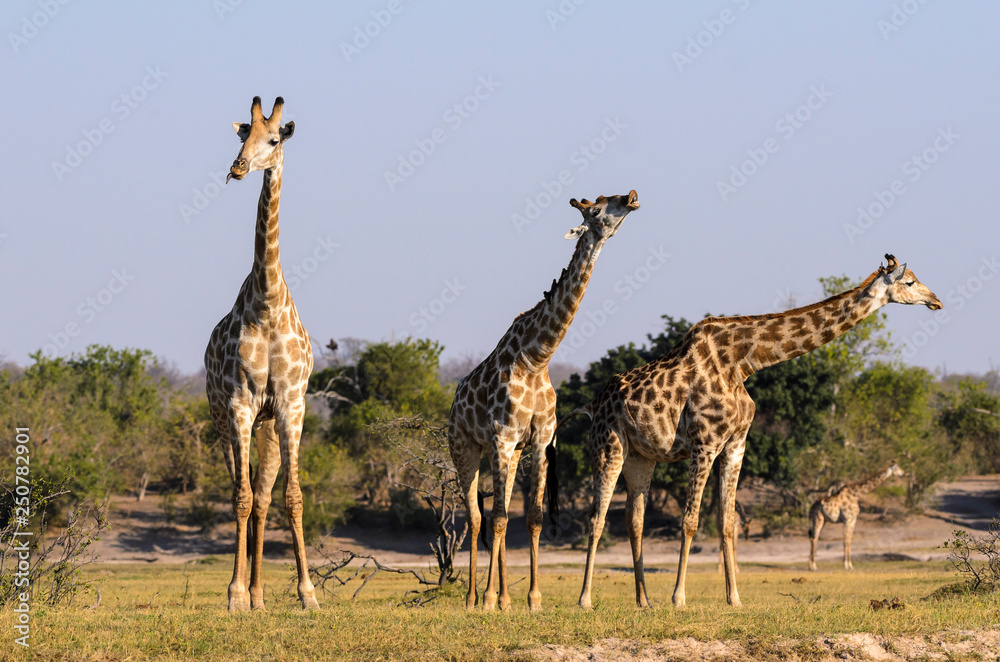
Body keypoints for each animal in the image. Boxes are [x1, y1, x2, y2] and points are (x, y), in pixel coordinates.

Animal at [448, 189, 636, 616]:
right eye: (596, 209)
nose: (632, 197)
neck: (537, 358)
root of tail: (453, 402)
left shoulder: (537, 440)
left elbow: (531, 517)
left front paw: (531, 599)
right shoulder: (501, 438)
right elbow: (499, 519)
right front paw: (488, 600)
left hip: (511, 454)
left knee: (495, 513)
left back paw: (504, 598)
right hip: (466, 448)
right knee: (476, 517)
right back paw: (473, 598)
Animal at [576, 255, 940, 612]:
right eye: (910, 282)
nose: (935, 300)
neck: (742, 363)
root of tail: (593, 403)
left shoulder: (736, 444)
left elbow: (727, 522)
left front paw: (734, 598)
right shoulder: (704, 442)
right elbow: (690, 519)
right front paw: (679, 598)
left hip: (641, 457)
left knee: (633, 520)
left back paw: (644, 600)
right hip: (608, 447)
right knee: (596, 519)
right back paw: (586, 599)